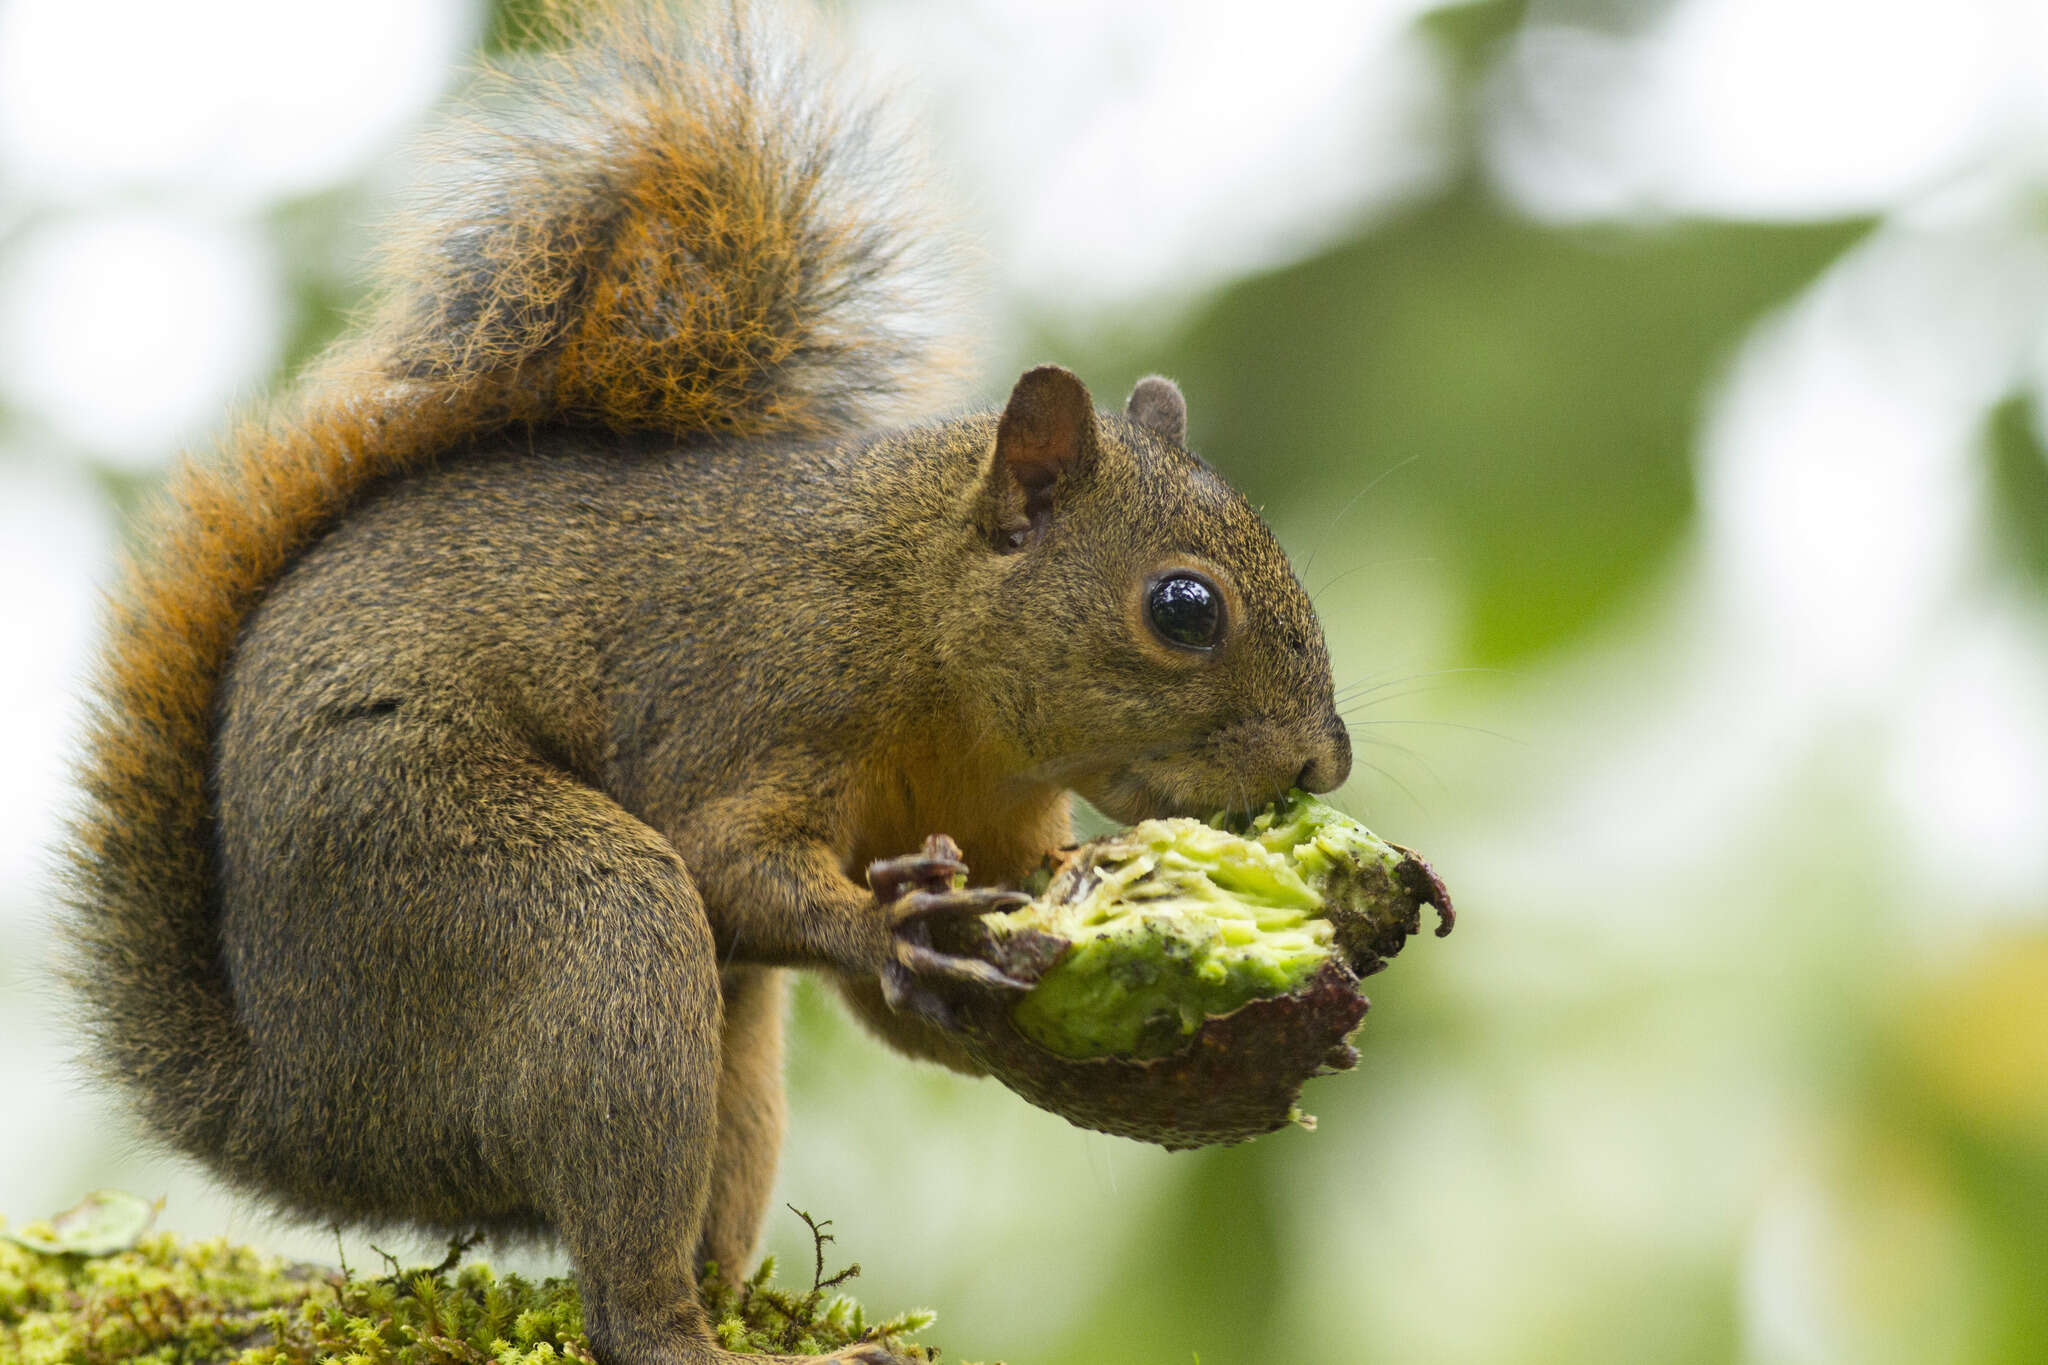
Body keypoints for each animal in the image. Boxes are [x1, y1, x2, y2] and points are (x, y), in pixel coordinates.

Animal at [56, 2, 1351, 1365]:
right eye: (1183, 609)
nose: (1323, 764)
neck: (924, 631)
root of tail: (306, 1111)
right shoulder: (753, 697)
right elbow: (729, 859)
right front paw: (885, 925)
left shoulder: (988, 824)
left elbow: (918, 1006)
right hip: (514, 905)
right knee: (625, 1270)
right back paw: (706, 1334)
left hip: (722, 1052)